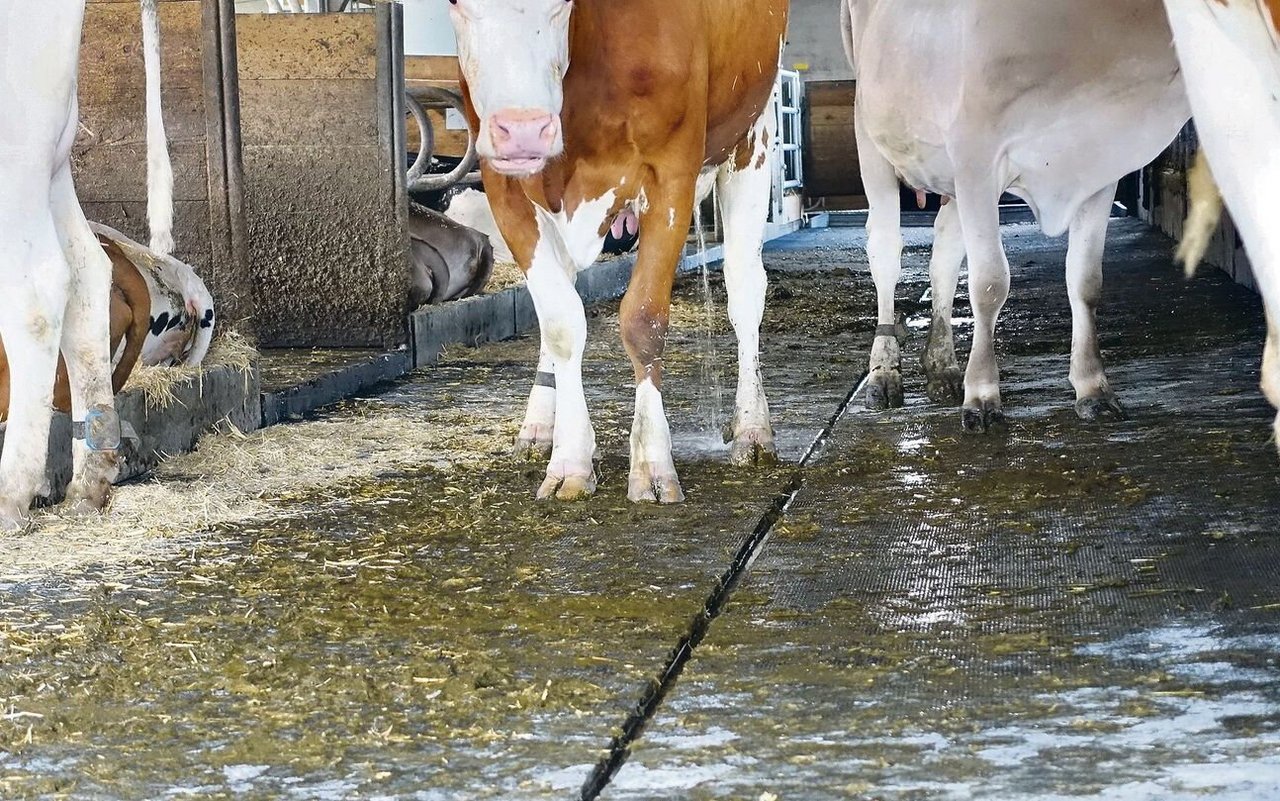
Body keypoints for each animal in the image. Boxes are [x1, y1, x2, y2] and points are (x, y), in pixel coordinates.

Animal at [0, 0, 172, 527]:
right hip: (51, 161)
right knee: (86, 271)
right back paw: (90, 480)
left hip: (15, 152)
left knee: (36, 296)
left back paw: (10, 493)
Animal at [450, 0, 788, 499]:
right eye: (455, 4)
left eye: (562, 4)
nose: (525, 130)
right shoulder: (503, 188)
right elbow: (561, 323)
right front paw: (569, 460)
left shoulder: (670, 174)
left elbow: (643, 320)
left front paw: (652, 463)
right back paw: (539, 426)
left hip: (753, 136)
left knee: (744, 291)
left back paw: (752, 430)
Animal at [844, 0, 1192, 429]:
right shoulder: (976, 153)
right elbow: (989, 283)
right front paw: (982, 396)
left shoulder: (1098, 169)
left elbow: (1086, 281)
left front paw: (1093, 388)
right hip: (871, 133)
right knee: (885, 251)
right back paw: (883, 377)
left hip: (948, 174)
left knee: (944, 251)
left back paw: (942, 368)